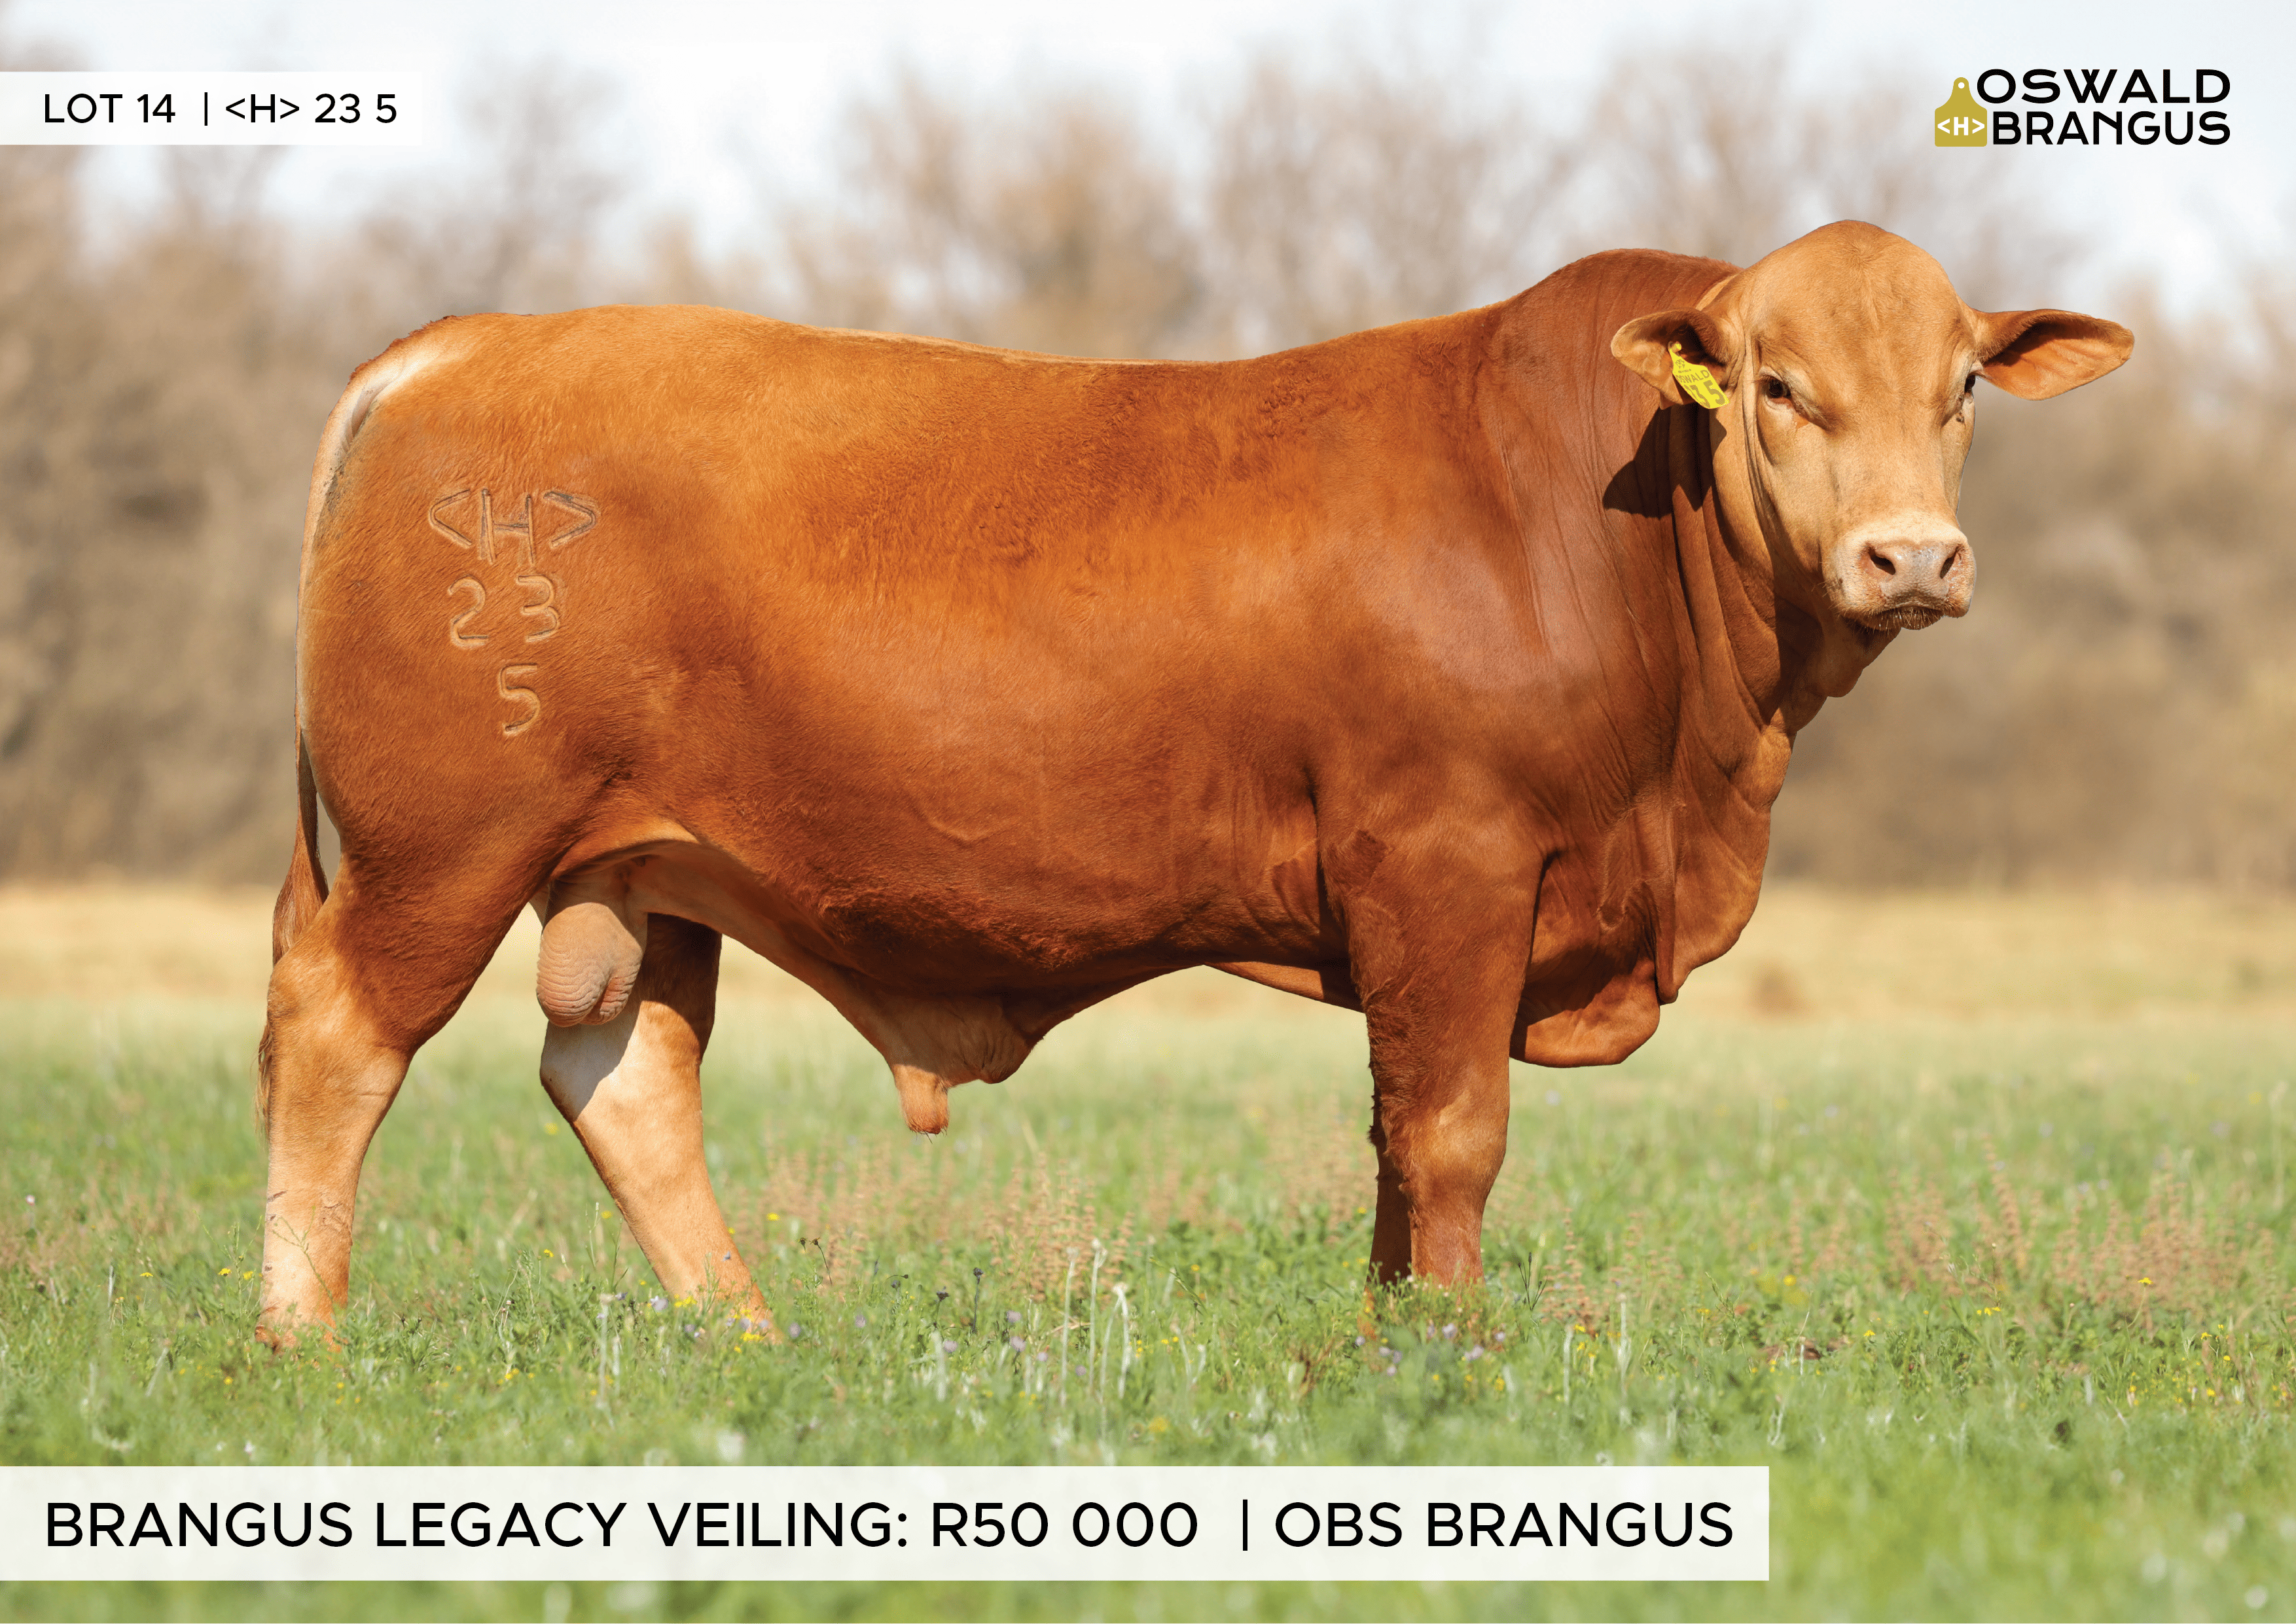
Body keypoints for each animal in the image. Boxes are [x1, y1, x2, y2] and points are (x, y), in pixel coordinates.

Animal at [254, 221, 2130, 1343]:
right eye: (1775, 385)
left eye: (1960, 384)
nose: (1912, 556)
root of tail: (460, 345)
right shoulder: (1448, 859)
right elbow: (1451, 1130)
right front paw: (1454, 1351)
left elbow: (1391, 1140)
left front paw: (1388, 1344)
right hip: (443, 846)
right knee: (339, 1048)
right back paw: (304, 1341)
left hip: (641, 867)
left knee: (622, 1074)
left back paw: (745, 1341)